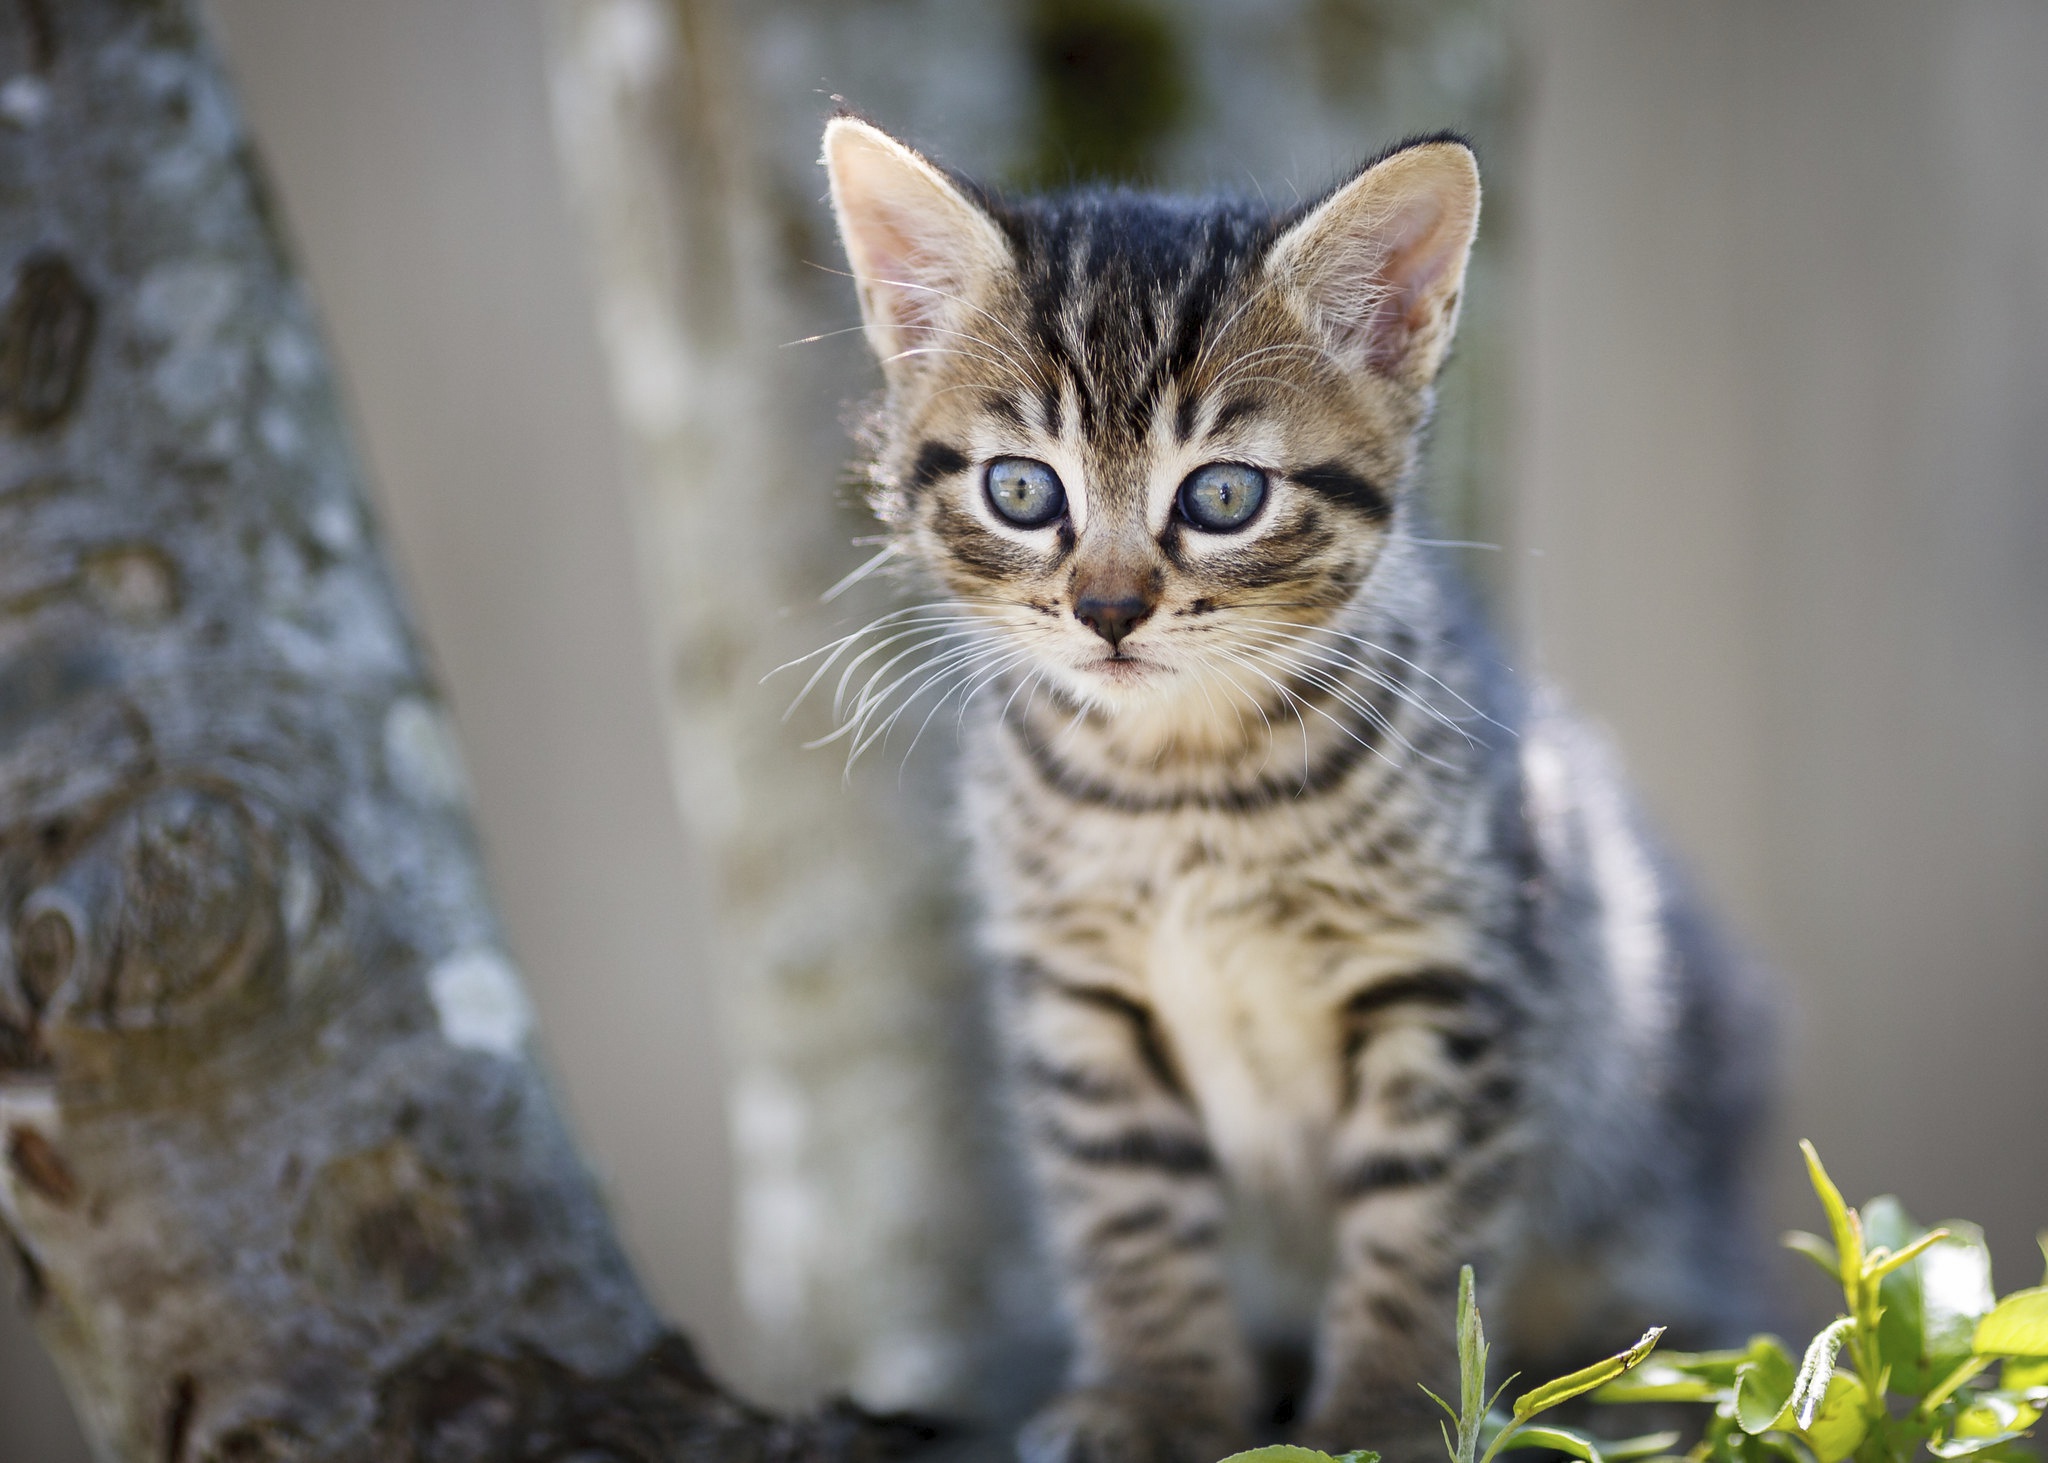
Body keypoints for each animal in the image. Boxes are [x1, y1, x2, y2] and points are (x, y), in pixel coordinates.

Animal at [815, 116, 1777, 1458]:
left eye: (1223, 494)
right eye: (1021, 488)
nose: (1107, 609)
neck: (1182, 784)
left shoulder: (1449, 977)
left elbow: (1420, 1231)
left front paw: (1387, 1412)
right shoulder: (1079, 992)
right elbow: (1125, 1211)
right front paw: (1153, 1395)